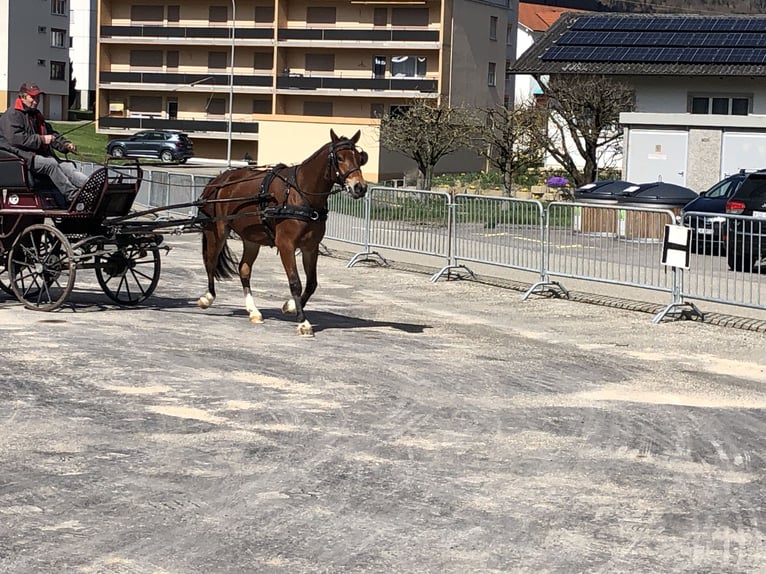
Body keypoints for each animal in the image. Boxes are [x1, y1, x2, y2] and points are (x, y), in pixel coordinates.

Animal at [196, 130, 368, 338]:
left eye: (359, 158)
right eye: (340, 158)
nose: (360, 187)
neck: (299, 193)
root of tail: (217, 181)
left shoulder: (310, 247)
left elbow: (311, 283)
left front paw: (291, 306)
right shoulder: (286, 245)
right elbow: (295, 282)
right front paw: (303, 322)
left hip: (251, 239)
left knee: (244, 269)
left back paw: (253, 311)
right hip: (217, 231)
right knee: (210, 261)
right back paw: (208, 297)